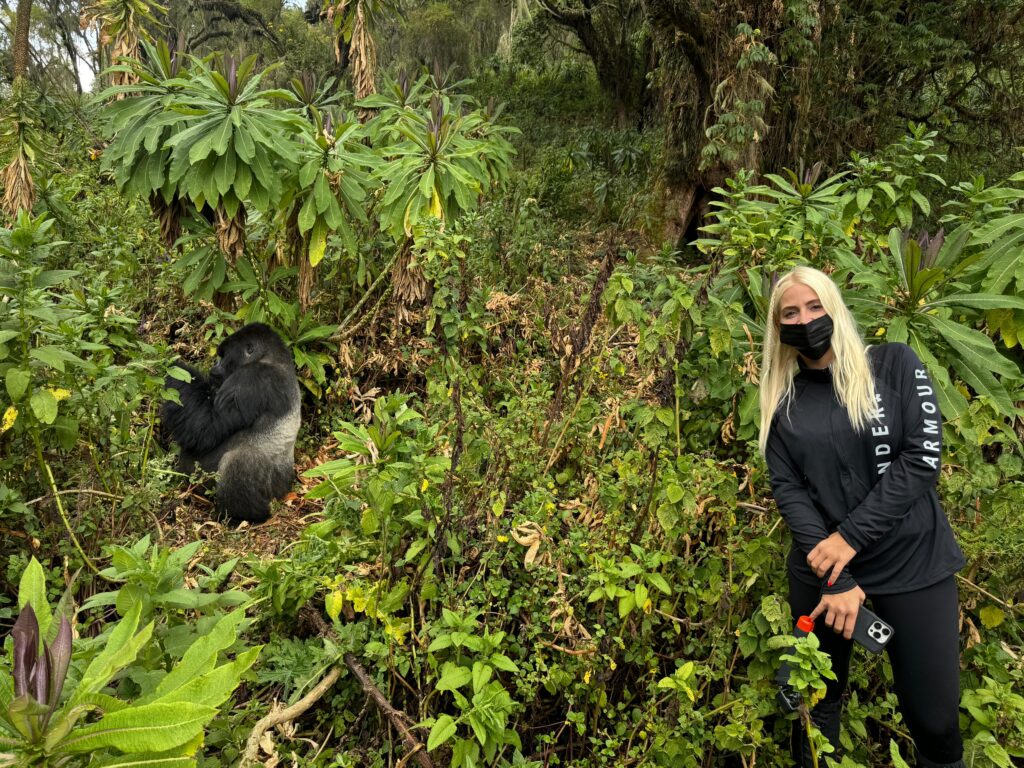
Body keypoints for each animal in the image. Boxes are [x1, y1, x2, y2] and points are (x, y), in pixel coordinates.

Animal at [160, 325, 299, 524]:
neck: (272, 358)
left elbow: (204, 430)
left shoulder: (249, 378)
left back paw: (242, 516)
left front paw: (177, 370)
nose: (214, 366)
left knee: (237, 461)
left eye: (224, 356)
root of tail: (285, 490)